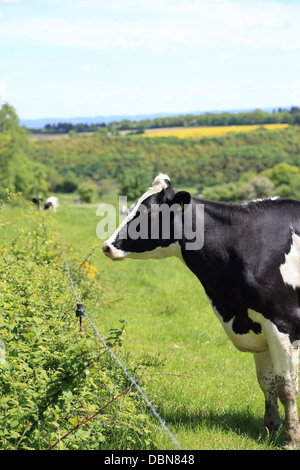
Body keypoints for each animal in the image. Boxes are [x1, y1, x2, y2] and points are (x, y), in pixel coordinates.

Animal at [103, 173, 300, 448]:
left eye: (148, 211)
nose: (107, 246)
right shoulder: (257, 325)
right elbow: (267, 382)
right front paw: (270, 429)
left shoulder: (283, 323)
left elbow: (286, 387)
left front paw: (291, 439)